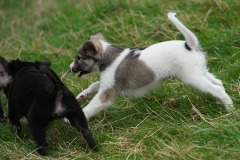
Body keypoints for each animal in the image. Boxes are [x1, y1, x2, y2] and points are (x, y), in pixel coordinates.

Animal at [69, 12, 234, 120]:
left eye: (79, 58)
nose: (69, 68)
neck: (109, 56)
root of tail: (190, 45)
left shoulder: (106, 94)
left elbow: (89, 108)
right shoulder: (106, 85)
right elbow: (94, 84)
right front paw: (82, 95)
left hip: (192, 78)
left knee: (217, 89)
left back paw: (229, 109)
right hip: (201, 73)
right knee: (218, 83)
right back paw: (221, 102)